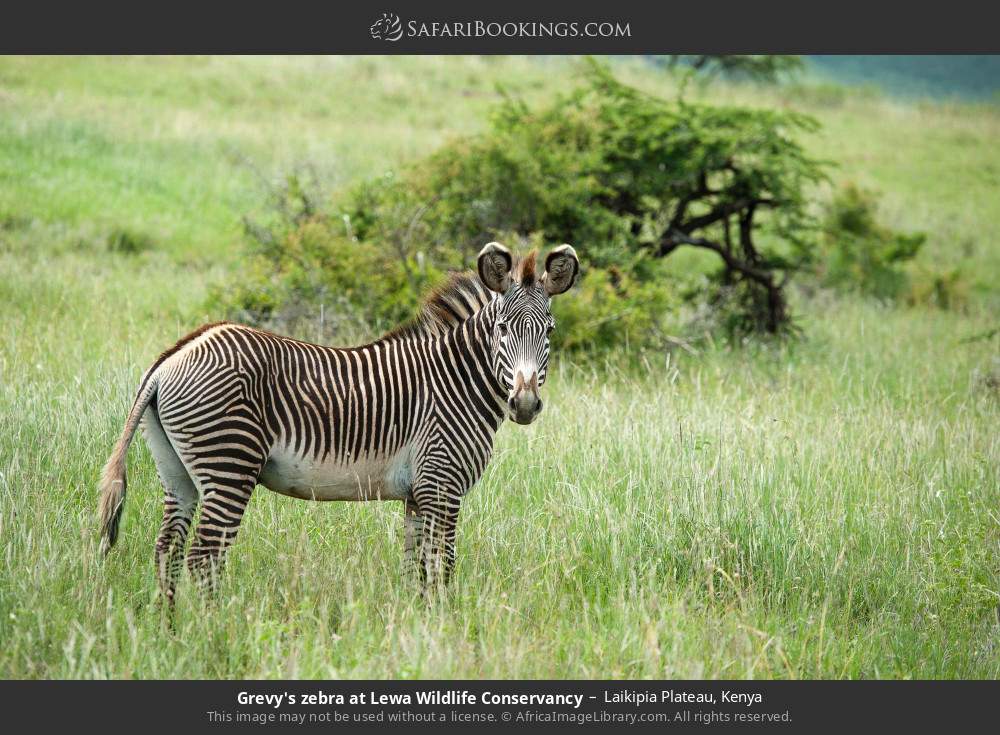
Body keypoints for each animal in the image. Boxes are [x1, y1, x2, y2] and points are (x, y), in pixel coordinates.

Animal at [97, 242, 579, 599]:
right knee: (203, 558)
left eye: (549, 331)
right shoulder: (441, 484)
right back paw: (212, 632)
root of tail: (174, 357)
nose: (525, 404)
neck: (457, 379)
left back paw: (172, 632)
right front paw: (447, 627)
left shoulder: (417, 494)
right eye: (502, 329)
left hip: (177, 470)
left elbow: (415, 571)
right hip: (229, 463)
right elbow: (442, 567)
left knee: (167, 551)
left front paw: (417, 627)